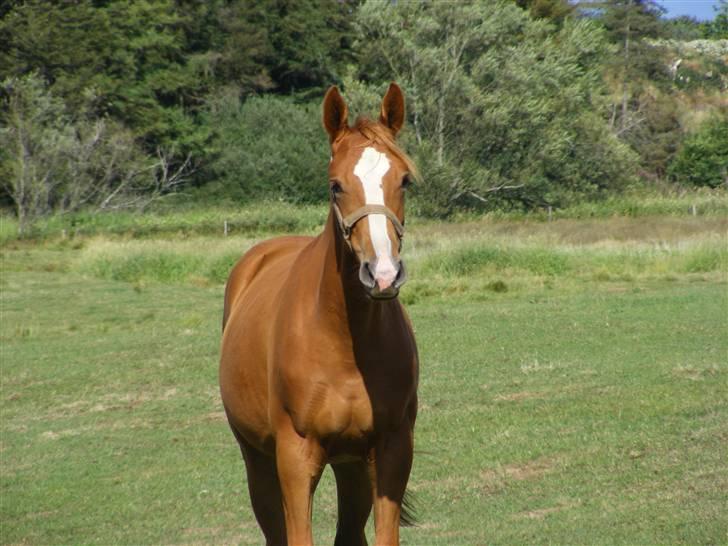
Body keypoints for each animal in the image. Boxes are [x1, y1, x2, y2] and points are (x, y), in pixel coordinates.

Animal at [219, 82, 418, 544]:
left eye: (403, 180)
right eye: (335, 186)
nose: (382, 274)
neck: (345, 344)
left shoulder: (392, 449)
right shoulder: (295, 457)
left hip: (350, 466)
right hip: (257, 460)